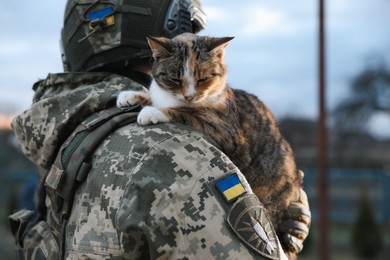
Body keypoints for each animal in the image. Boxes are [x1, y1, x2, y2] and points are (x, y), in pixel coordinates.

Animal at [117, 32, 304, 256]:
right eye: (174, 79)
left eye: (203, 79)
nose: (189, 96)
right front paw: (132, 95)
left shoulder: (223, 127)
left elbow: (185, 113)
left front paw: (154, 111)